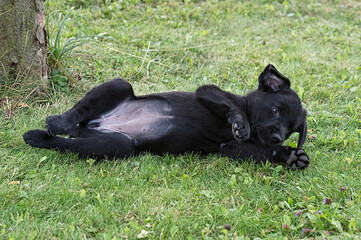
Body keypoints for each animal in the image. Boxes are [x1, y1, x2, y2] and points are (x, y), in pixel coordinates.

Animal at [22, 63, 308, 169]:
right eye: (275, 110)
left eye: (292, 130)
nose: (277, 138)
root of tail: (92, 125)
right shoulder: (207, 92)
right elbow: (229, 106)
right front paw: (240, 123)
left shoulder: (229, 149)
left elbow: (257, 152)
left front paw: (289, 156)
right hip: (119, 86)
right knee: (76, 113)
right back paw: (54, 124)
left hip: (117, 144)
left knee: (69, 144)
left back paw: (39, 136)